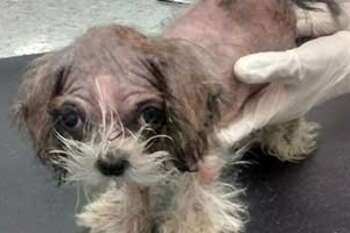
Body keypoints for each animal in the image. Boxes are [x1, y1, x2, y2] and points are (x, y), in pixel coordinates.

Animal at [14, 0, 340, 233]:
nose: (110, 164)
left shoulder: (203, 151)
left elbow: (195, 193)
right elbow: (134, 185)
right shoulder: (137, 159)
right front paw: (124, 216)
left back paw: (286, 139)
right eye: (72, 119)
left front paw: (192, 225)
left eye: (149, 114)